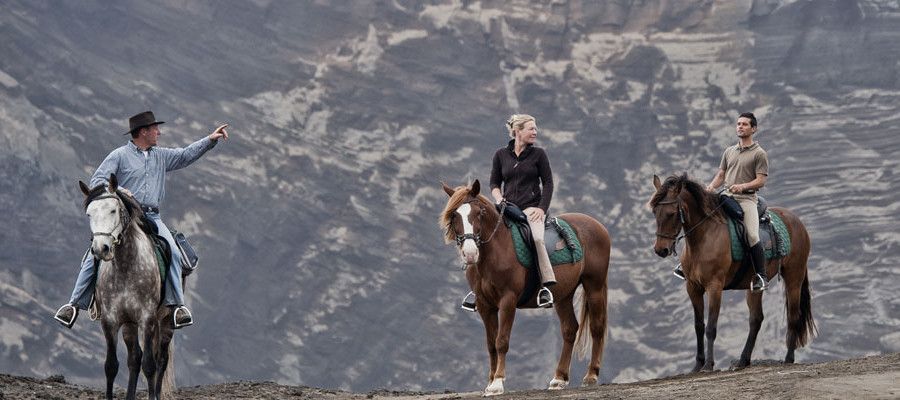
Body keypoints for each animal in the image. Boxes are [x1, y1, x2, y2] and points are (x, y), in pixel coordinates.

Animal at [82, 175, 178, 400]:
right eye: (89, 213)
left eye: (113, 210)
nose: (100, 249)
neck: (126, 266)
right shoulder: (110, 321)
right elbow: (111, 366)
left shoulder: (147, 318)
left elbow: (150, 365)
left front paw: (152, 397)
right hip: (129, 325)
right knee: (134, 358)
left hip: (166, 321)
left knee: (160, 359)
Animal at [438, 180, 608, 396]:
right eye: (454, 215)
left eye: (478, 213)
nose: (469, 253)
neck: (496, 250)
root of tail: (595, 224)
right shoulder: (485, 305)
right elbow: (491, 344)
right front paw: (490, 381)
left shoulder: (508, 301)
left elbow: (501, 341)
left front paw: (497, 383)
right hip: (564, 295)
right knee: (570, 329)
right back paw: (559, 378)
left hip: (594, 285)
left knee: (597, 327)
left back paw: (591, 376)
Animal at [648, 173, 816, 374]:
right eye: (654, 213)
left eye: (671, 213)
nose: (661, 250)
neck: (704, 237)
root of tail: (796, 221)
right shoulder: (693, 287)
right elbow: (699, 326)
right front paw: (697, 364)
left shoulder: (714, 287)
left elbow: (711, 327)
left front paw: (708, 365)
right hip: (753, 287)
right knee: (756, 319)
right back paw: (743, 360)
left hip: (794, 278)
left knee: (793, 316)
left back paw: (788, 359)